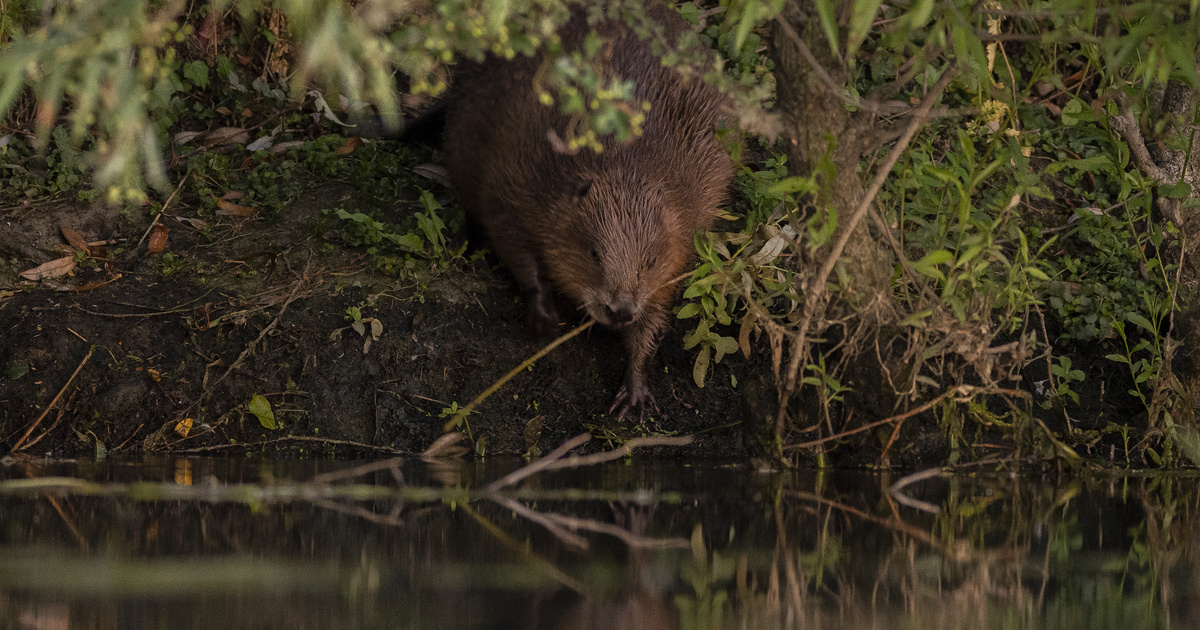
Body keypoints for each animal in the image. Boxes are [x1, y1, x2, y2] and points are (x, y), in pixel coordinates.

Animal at [446, 6, 734, 417]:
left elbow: (656, 313)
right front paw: (545, 321)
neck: (621, 163)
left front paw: (634, 394)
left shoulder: (684, 228)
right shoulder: (515, 176)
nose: (620, 309)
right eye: (594, 253)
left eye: (650, 260)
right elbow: (514, 245)